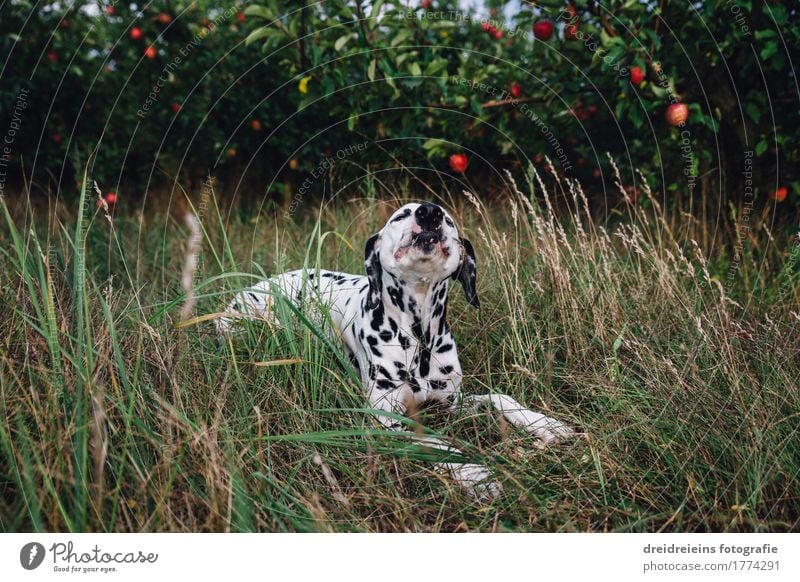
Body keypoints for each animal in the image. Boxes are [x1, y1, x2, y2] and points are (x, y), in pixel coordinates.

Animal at [216, 203, 572, 500]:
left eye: (447, 218)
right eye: (401, 215)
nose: (429, 212)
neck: (418, 337)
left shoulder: (451, 403)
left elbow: (497, 397)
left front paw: (544, 424)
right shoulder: (387, 421)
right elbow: (435, 442)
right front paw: (474, 474)